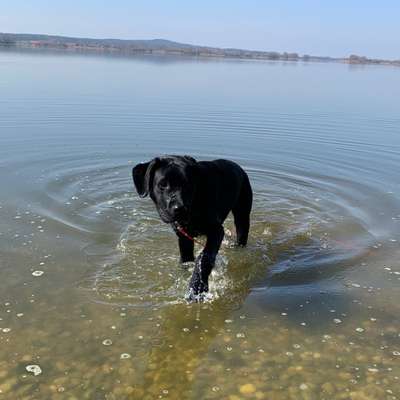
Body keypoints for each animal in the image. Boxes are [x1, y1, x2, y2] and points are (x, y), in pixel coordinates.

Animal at [133, 155, 252, 300]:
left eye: (188, 184)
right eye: (162, 185)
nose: (179, 208)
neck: (194, 205)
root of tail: (238, 167)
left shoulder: (216, 231)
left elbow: (203, 258)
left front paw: (197, 287)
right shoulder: (184, 237)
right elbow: (186, 260)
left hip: (242, 214)